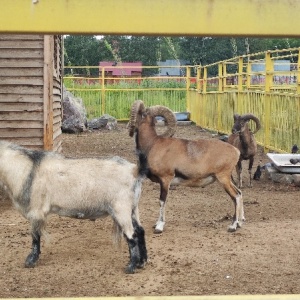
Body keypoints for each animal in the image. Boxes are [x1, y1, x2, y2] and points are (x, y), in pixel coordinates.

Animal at [0, 139, 148, 274]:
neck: (29, 169)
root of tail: (134, 170)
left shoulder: (36, 210)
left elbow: (35, 236)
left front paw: (31, 260)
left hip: (121, 208)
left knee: (132, 235)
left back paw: (131, 266)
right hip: (133, 208)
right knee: (140, 230)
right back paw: (142, 262)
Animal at [128, 101, 244, 234]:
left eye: (141, 114)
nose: (129, 125)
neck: (152, 144)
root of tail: (236, 151)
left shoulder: (165, 180)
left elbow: (162, 201)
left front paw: (159, 227)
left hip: (223, 178)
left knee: (235, 196)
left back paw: (233, 226)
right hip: (227, 179)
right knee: (240, 193)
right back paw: (240, 223)